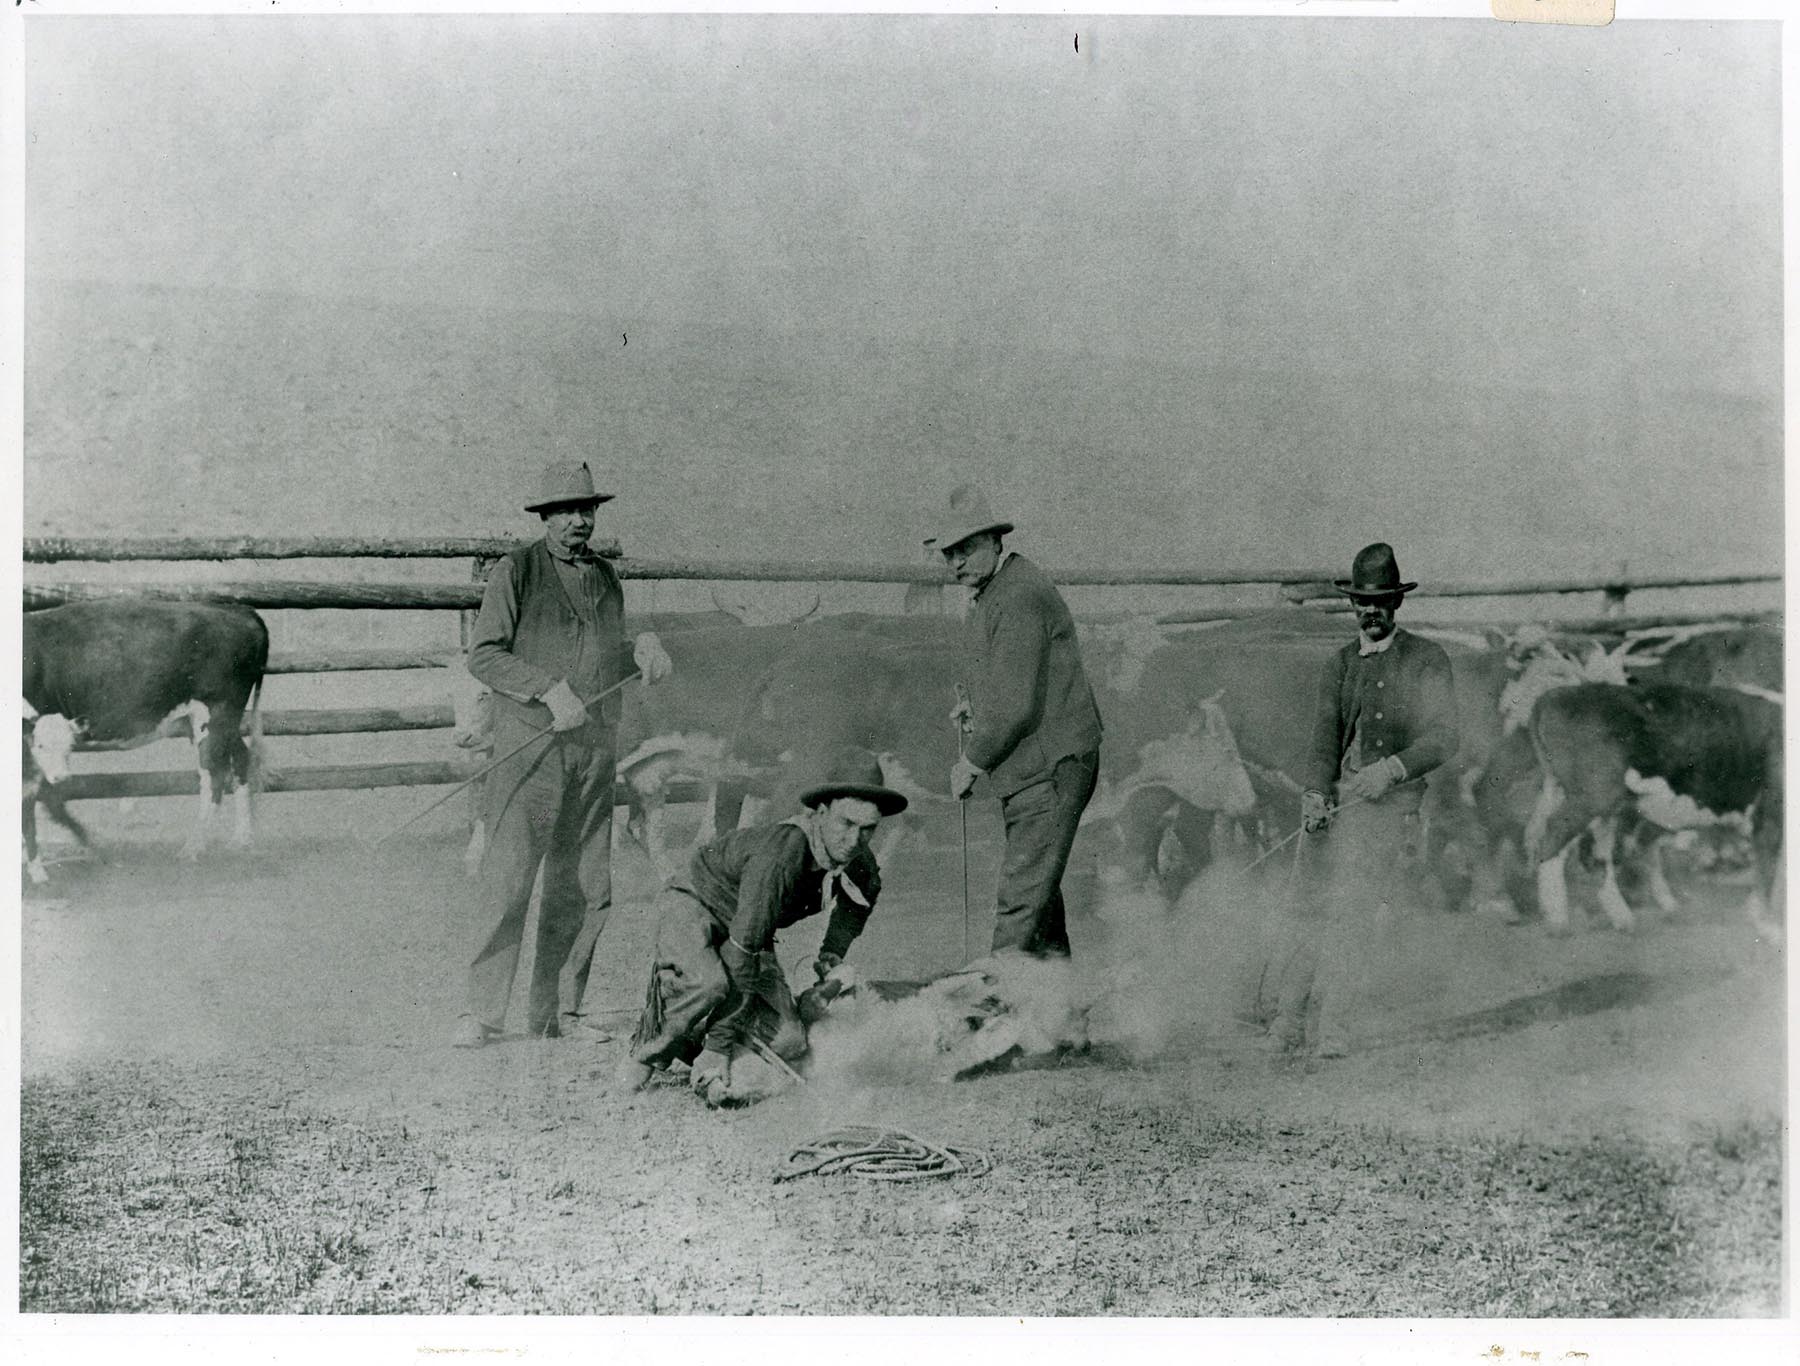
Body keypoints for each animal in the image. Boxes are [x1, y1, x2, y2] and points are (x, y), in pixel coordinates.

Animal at [22, 597, 270, 856]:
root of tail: (239, 610)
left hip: (216, 713)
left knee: (214, 774)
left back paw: (193, 847)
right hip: (219, 722)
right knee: (240, 757)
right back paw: (241, 839)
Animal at [1519, 680, 1785, 943]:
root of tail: (1557, 693)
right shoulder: (1771, 811)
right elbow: (1769, 869)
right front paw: (1770, 927)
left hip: (1596, 804)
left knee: (1594, 854)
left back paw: (1624, 918)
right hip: (1590, 798)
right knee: (1554, 841)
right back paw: (1558, 923)